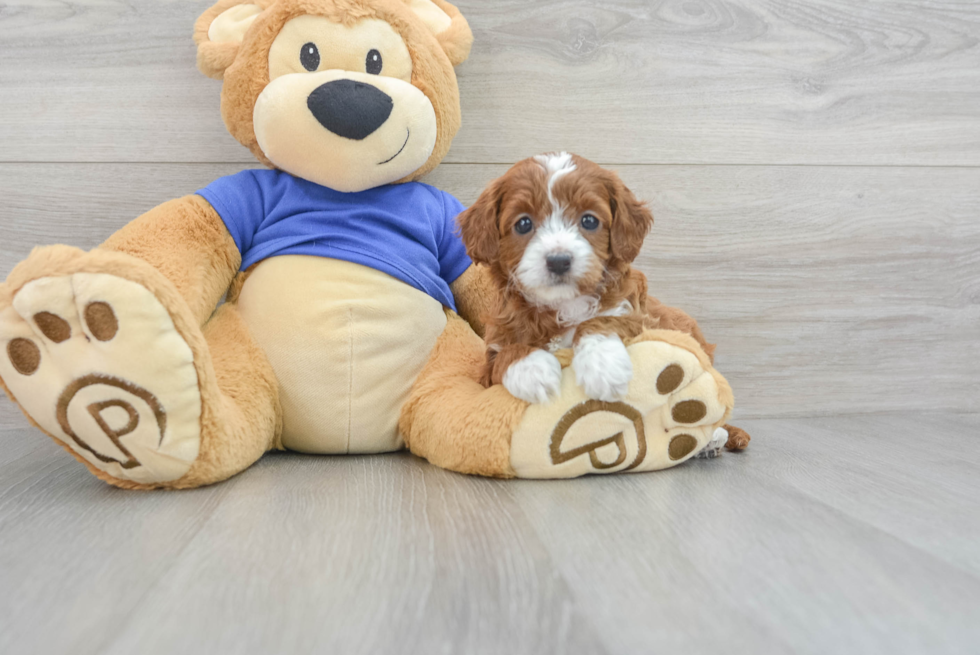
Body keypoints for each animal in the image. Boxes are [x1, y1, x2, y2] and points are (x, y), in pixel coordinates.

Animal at [458, 152, 660, 404]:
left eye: (589, 221)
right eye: (523, 223)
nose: (558, 261)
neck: (561, 304)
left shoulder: (642, 319)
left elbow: (601, 320)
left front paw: (603, 365)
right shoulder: (491, 357)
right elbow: (504, 355)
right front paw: (532, 369)